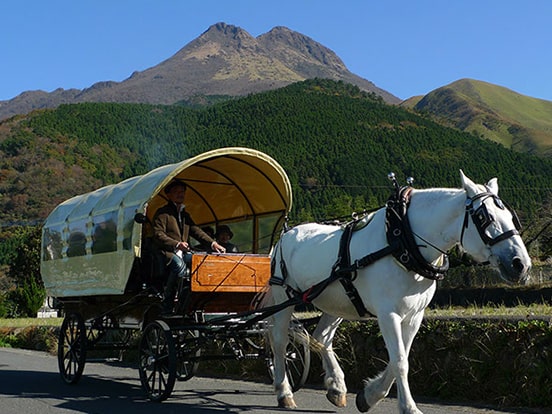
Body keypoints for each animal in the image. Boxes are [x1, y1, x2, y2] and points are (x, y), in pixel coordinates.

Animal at [266, 170, 532, 412]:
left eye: (510, 216)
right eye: (484, 217)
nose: (521, 264)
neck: (402, 241)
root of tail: (286, 233)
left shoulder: (414, 315)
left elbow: (401, 357)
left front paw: (369, 395)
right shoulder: (388, 314)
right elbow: (400, 361)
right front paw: (408, 406)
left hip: (337, 301)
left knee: (321, 337)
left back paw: (337, 387)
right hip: (284, 297)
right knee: (279, 341)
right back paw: (284, 392)